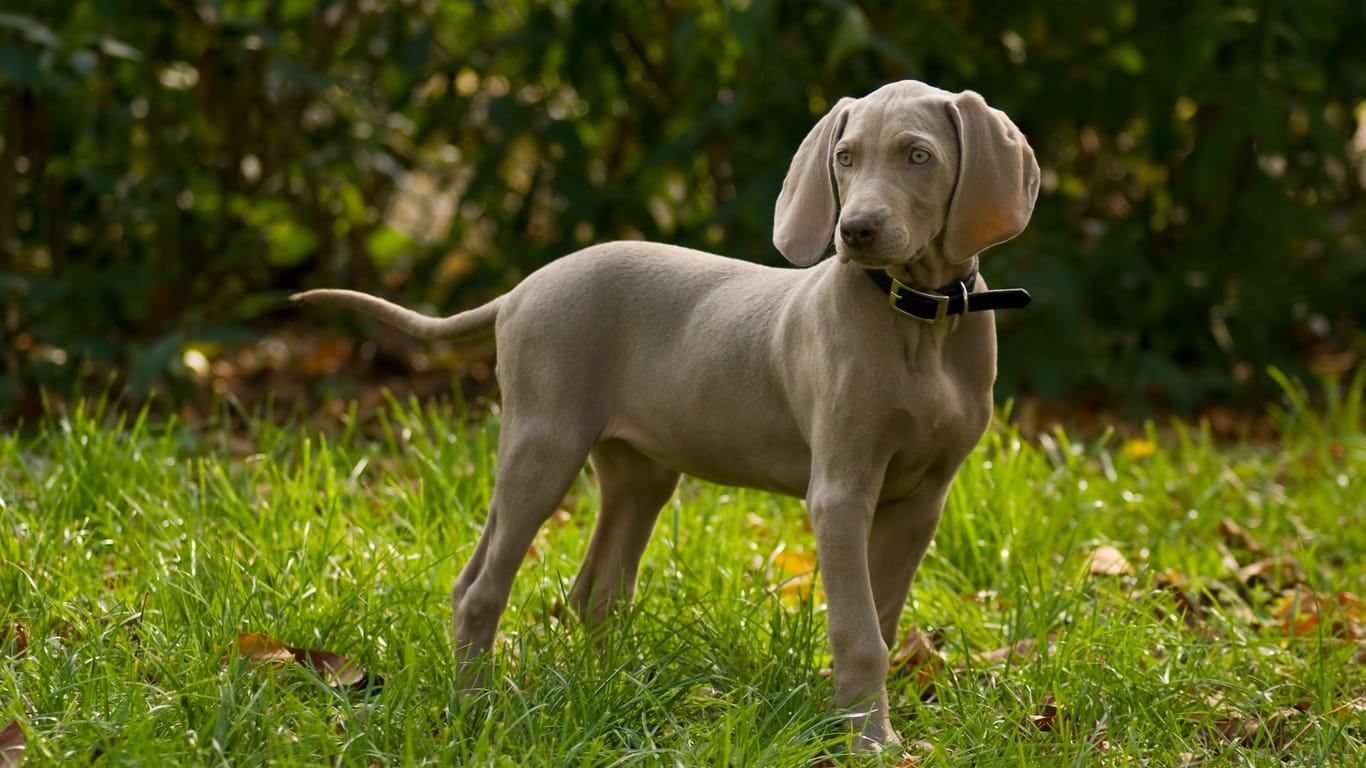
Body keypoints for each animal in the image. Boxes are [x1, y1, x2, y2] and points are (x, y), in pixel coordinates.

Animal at [293, 79, 1038, 748]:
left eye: (918, 156)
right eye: (845, 157)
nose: (854, 230)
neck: (921, 321)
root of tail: (522, 288)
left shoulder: (922, 501)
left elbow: (882, 620)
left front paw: (867, 725)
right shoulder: (841, 493)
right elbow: (859, 634)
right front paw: (870, 742)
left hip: (640, 471)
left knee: (594, 591)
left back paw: (611, 692)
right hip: (543, 443)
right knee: (478, 586)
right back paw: (477, 708)